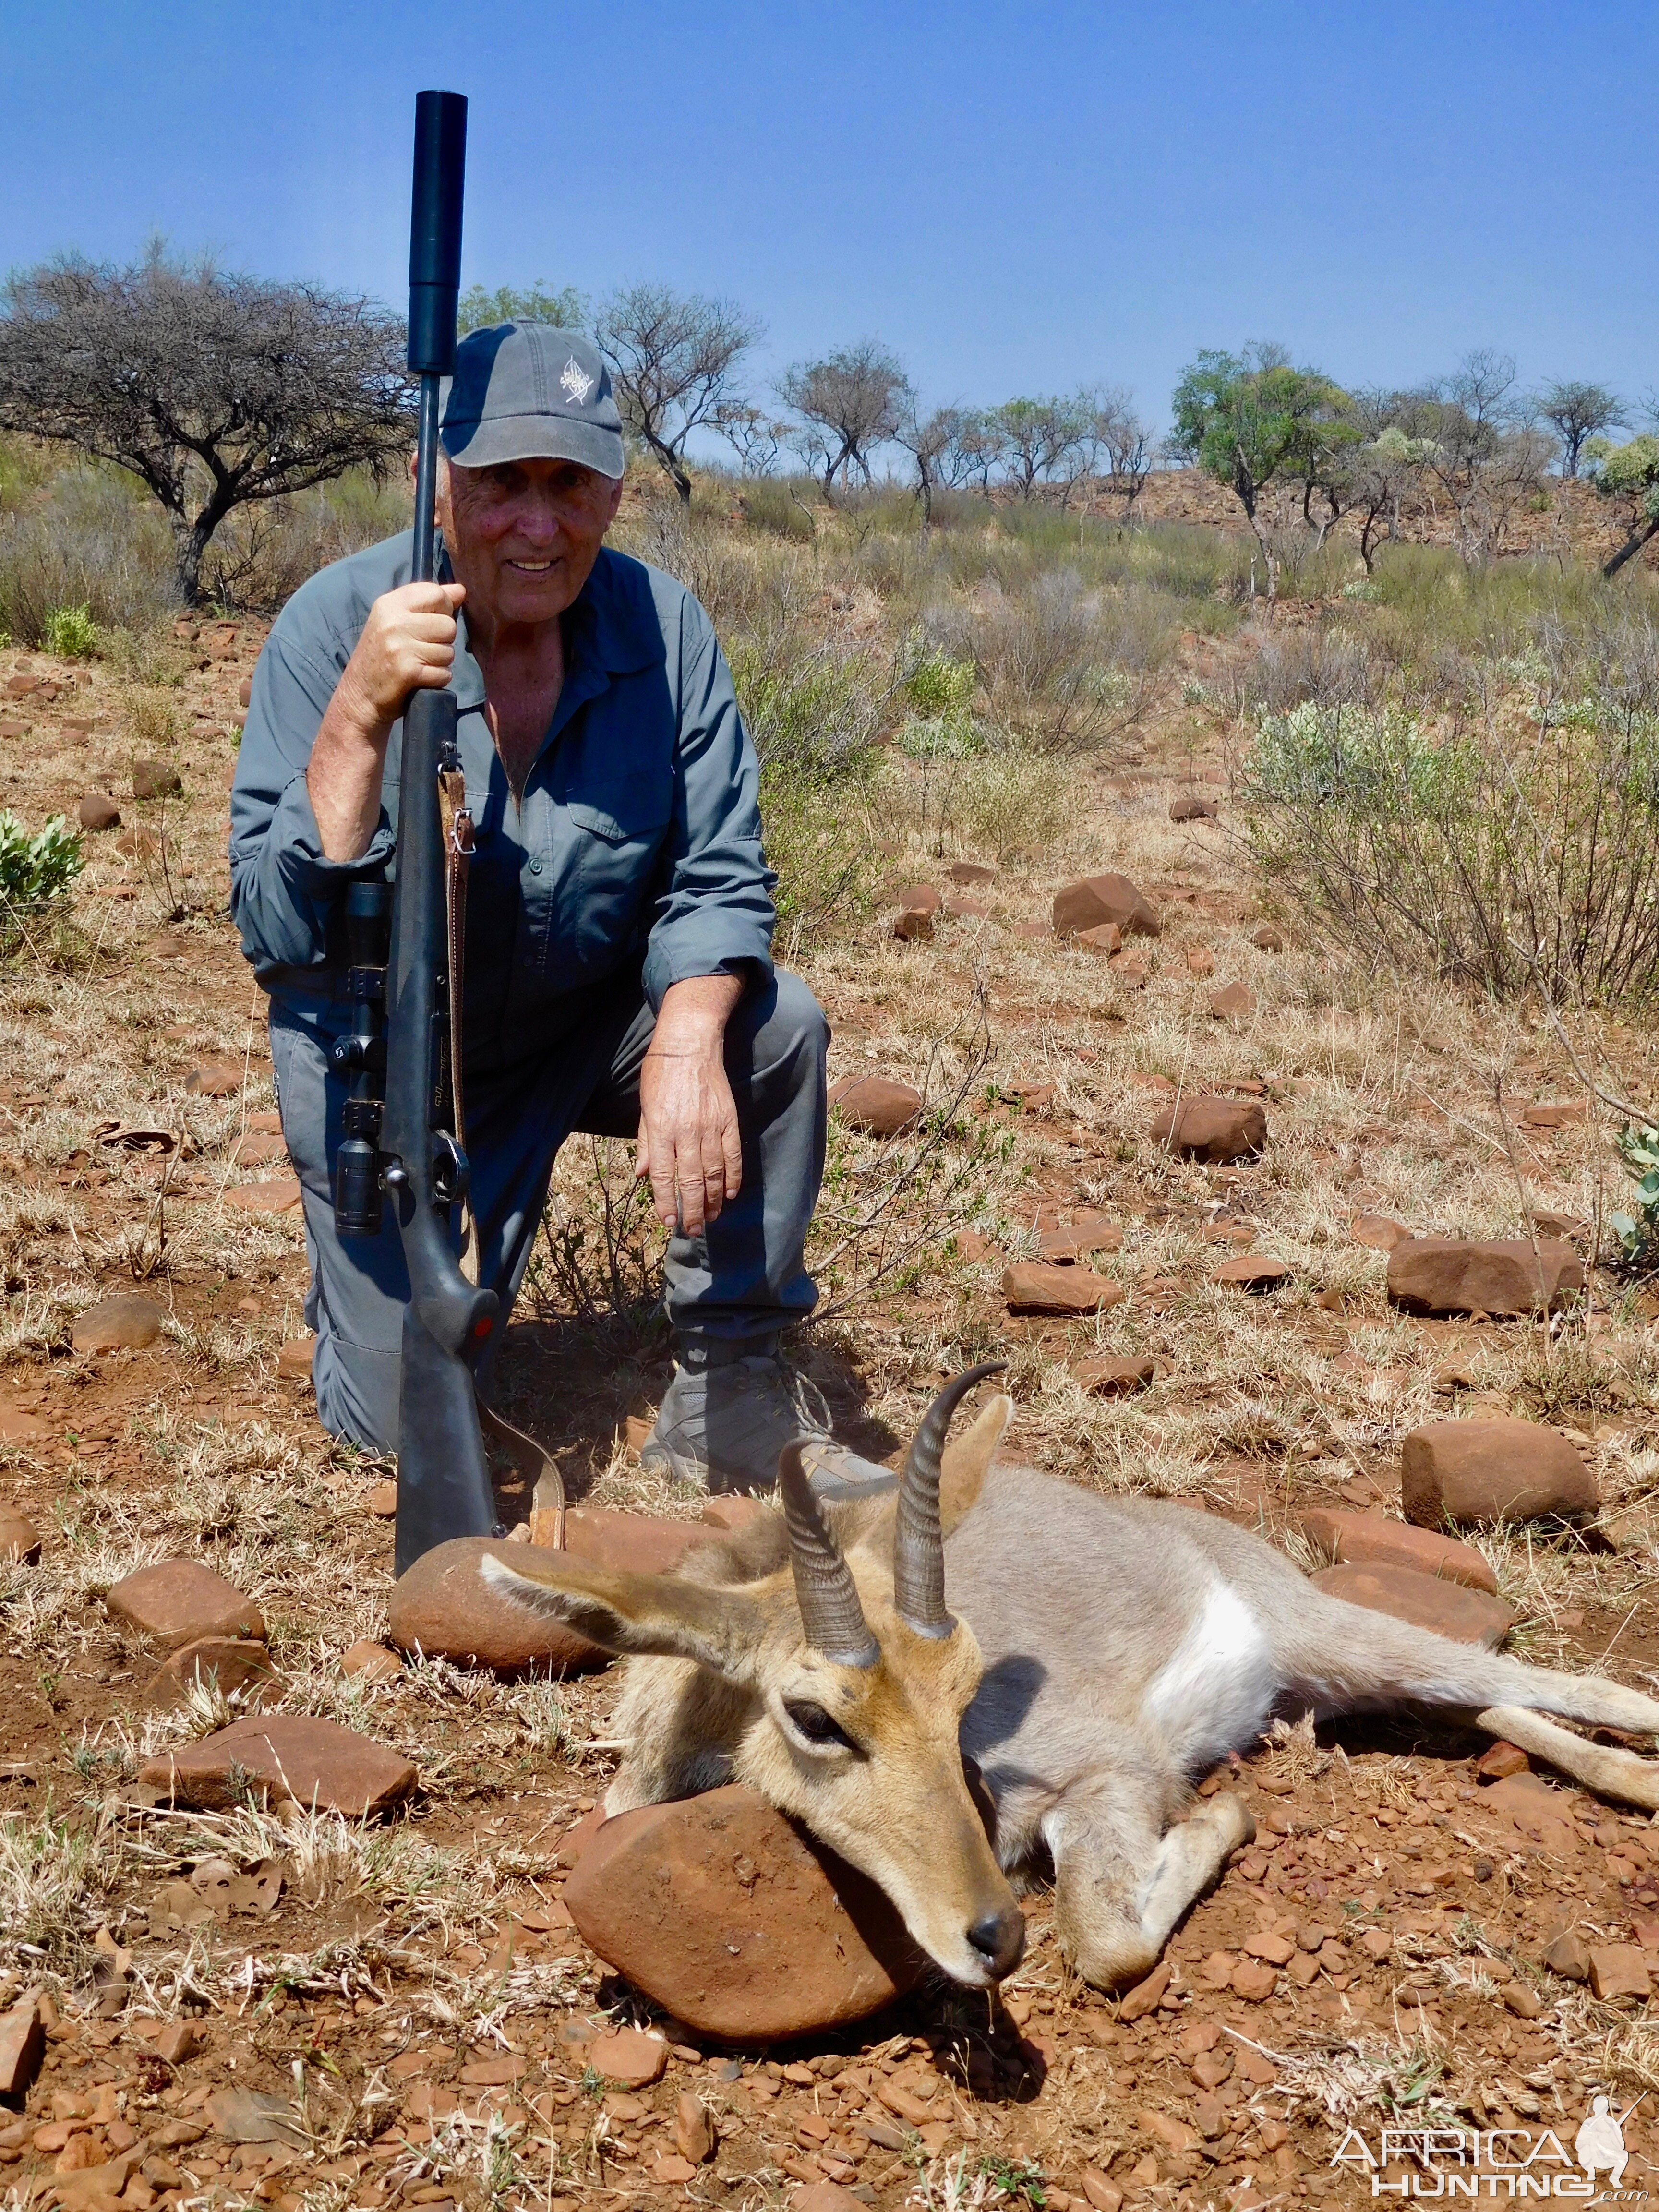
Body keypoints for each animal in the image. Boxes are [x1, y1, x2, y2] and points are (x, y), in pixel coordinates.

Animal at [480, 1354, 1659, 1999]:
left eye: (968, 1687)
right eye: (814, 1716)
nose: (992, 1935)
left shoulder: (1112, 1773)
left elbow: (1108, 1941)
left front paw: (1222, 1819)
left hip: (1344, 1640)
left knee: (1587, 1692)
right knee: (1495, 1701)